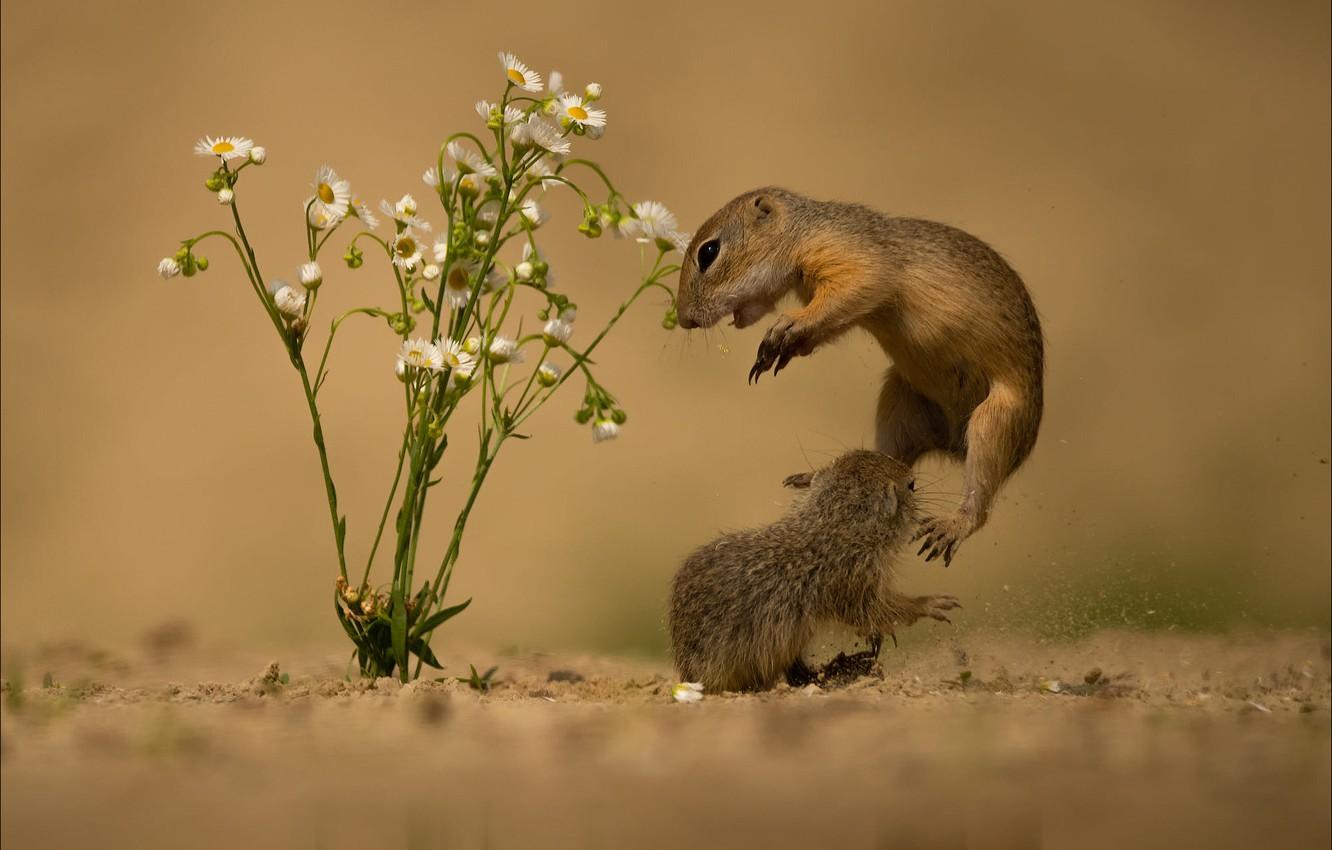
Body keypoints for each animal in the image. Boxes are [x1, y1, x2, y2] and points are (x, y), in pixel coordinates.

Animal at [671, 450, 964, 698]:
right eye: (911, 485)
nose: (912, 475)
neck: (834, 526)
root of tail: (686, 670)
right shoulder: (853, 584)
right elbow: (880, 611)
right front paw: (929, 604)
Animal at [681, 189, 1044, 570]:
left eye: (708, 252)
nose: (684, 317)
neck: (802, 231)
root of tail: (952, 445)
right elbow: (826, 325)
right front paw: (782, 348)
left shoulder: (851, 260)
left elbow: (851, 292)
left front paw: (786, 327)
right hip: (899, 406)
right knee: (889, 461)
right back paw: (820, 476)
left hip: (996, 423)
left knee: (980, 497)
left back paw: (954, 525)